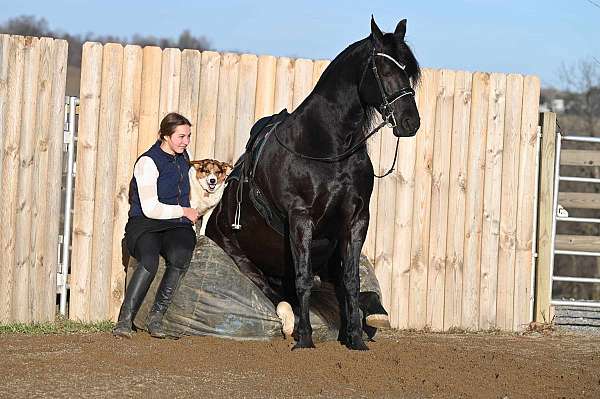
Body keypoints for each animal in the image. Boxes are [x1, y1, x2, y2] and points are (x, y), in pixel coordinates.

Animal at [209, 18, 420, 350]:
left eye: (409, 71)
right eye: (385, 70)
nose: (411, 121)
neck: (328, 146)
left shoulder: (357, 219)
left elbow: (351, 280)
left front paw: (355, 338)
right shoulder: (301, 218)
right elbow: (304, 278)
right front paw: (305, 339)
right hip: (239, 255)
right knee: (275, 292)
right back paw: (289, 322)